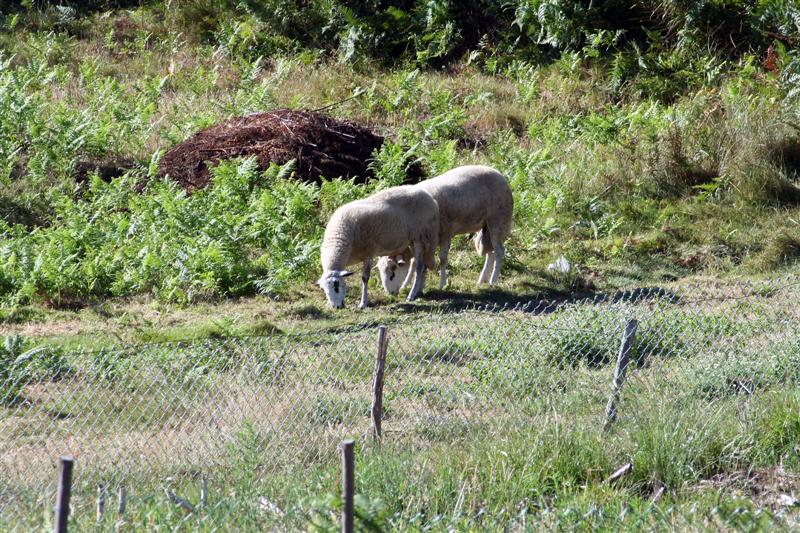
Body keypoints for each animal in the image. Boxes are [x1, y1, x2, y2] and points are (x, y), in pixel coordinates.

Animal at [376, 164, 512, 294]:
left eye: (393, 269)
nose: (390, 293)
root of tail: (498, 173)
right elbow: (415, 262)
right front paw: (406, 284)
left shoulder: (446, 233)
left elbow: (442, 259)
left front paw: (442, 284)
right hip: (486, 227)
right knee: (490, 252)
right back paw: (482, 280)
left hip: (498, 221)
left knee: (499, 251)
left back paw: (493, 280)